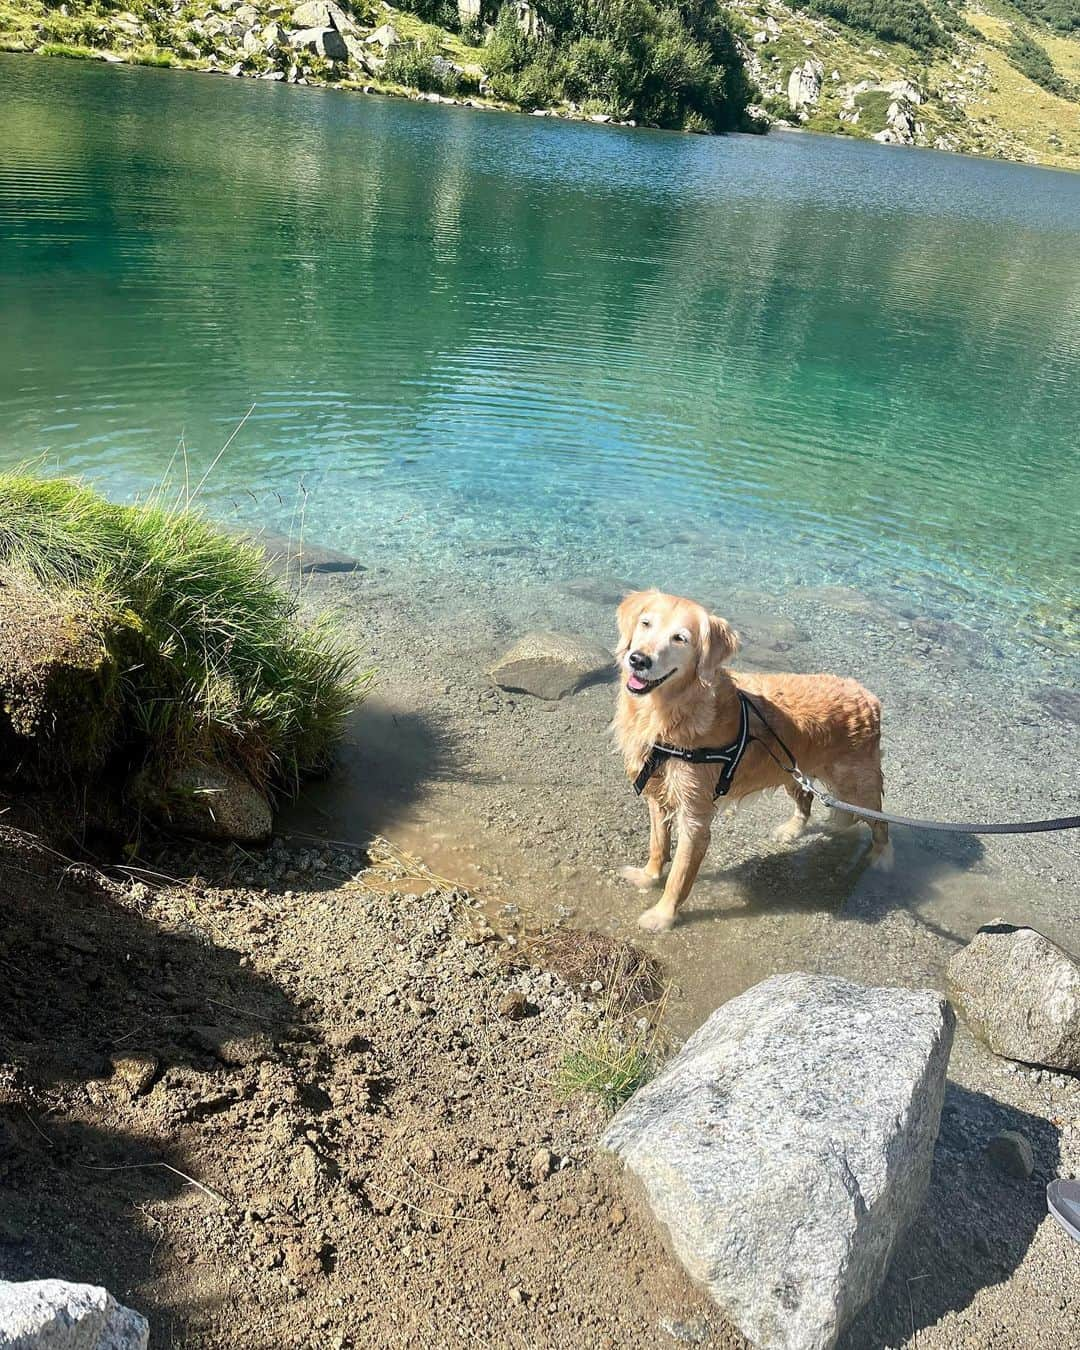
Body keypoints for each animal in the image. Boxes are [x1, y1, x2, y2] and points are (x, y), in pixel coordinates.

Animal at [612, 591, 891, 928]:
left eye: (680, 638)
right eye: (645, 623)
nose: (639, 659)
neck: (667, 713)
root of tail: (868, 696)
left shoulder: (695, 815)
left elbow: (679, 875)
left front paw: (662, 916)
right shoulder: (657, 793)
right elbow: (657, 844)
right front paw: (648, 876)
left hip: (856, 786)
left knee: (880, 822)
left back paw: (881, 860)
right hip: (791, 769)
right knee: (806, 802)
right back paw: (791, 830)